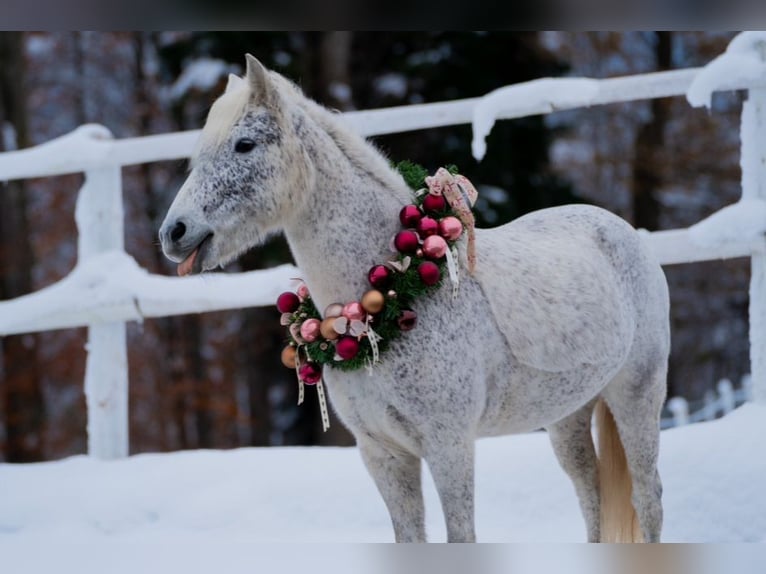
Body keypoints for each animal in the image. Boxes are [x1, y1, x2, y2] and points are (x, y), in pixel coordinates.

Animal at [159, 55, 668, 544]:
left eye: (245, 145)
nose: (174, 233)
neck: (386, 302)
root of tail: (624, 233)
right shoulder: (384, 455)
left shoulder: (449, 447)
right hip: (568, 415)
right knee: (591, 496)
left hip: (636, 394)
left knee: (648, 498)